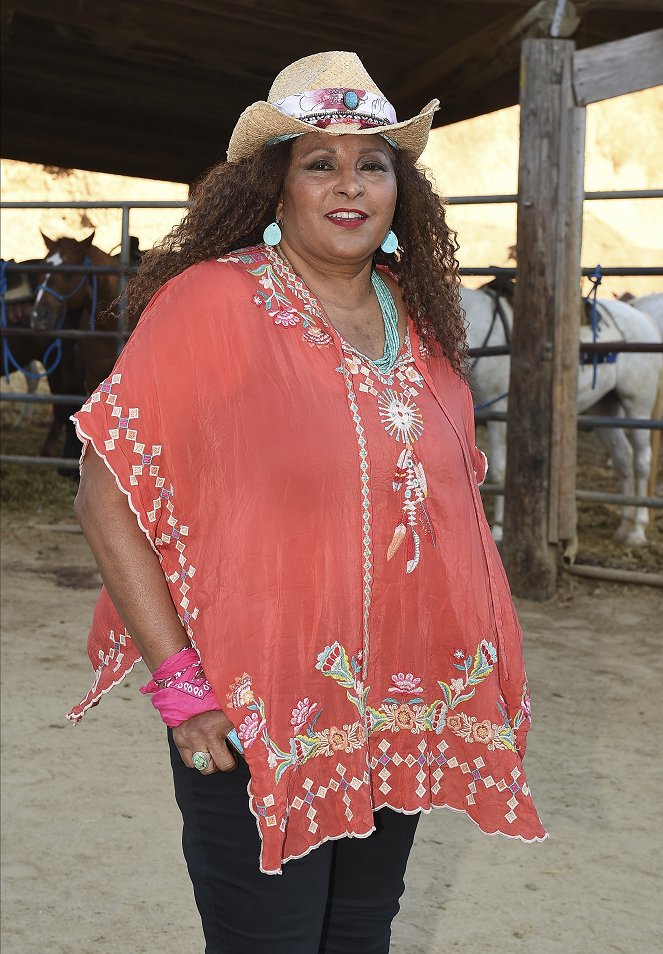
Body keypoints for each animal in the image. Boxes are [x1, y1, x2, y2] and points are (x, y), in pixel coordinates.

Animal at [464, 284, 663, 544]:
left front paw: (498, 528)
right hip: (604, 409)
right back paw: (624, 525)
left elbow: (497, 471)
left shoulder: (497, 413)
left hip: (637, 406)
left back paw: (637, 530)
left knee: (641, 460)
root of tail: (645, 318)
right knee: (623, 456)